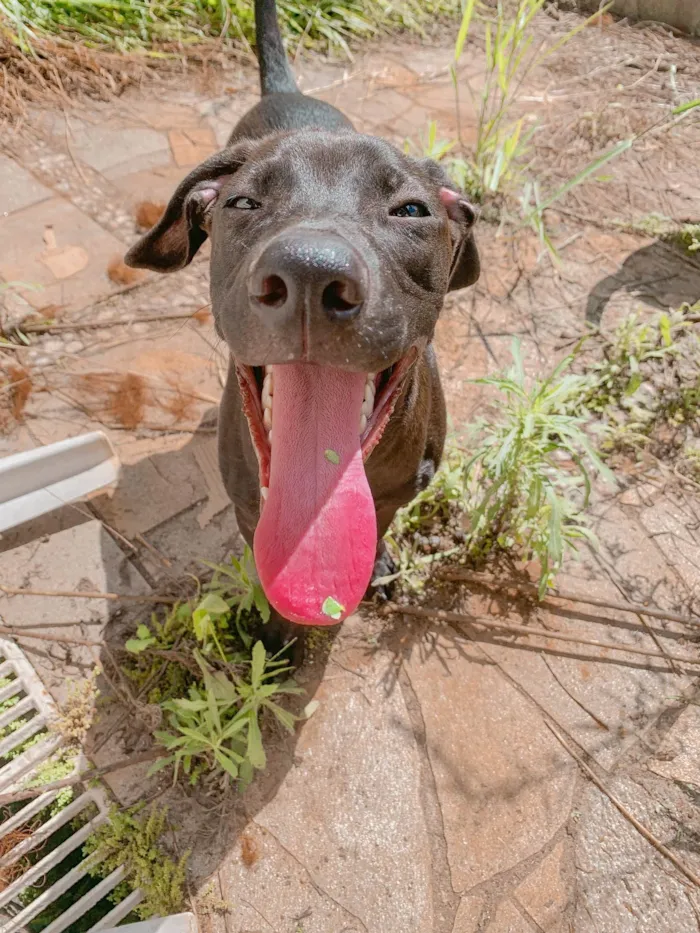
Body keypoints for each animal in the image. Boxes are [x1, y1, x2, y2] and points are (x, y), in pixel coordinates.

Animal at [126, 0, 478, 628]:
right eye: (244, 202)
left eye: (411, 210)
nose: (311, 273)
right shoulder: (249, 505)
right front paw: (276, 635)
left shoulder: (396, 493)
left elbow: (379, 528)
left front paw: (378, 564)